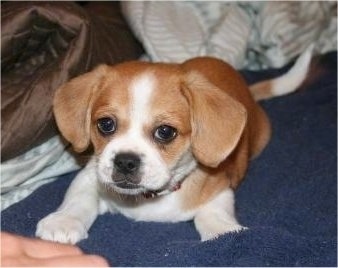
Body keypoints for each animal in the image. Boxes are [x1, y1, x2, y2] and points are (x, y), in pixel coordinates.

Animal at [36, 49, 312, 244]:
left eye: (165, 132)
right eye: (106, 124)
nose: (125, 161)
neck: (148, 200)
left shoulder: (220, 188)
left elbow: (211, 212)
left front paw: (223, 231)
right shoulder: (91, 174)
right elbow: (78, 197)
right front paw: (62, 222)